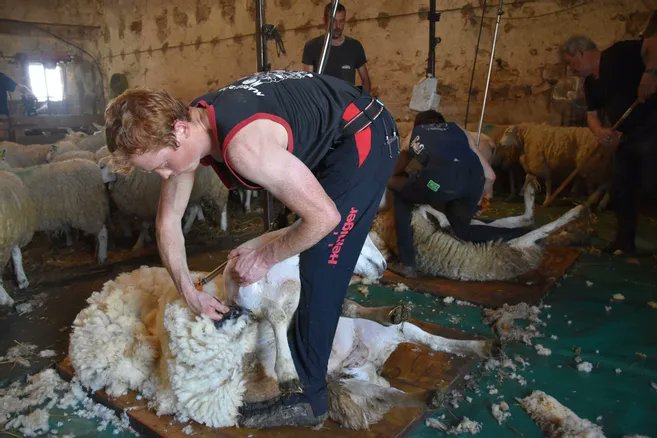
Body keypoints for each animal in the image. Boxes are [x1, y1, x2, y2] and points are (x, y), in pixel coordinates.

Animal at [70, 237, 491, 429]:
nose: (385, 265)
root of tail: (371, 359)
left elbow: (326, 306)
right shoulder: (268, 305)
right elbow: (281, 314)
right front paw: (287, 372)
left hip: (372, 343)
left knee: (412, 334)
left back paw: (469, 346)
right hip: (352, 376)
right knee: (384, 385)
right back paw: (438, 386)